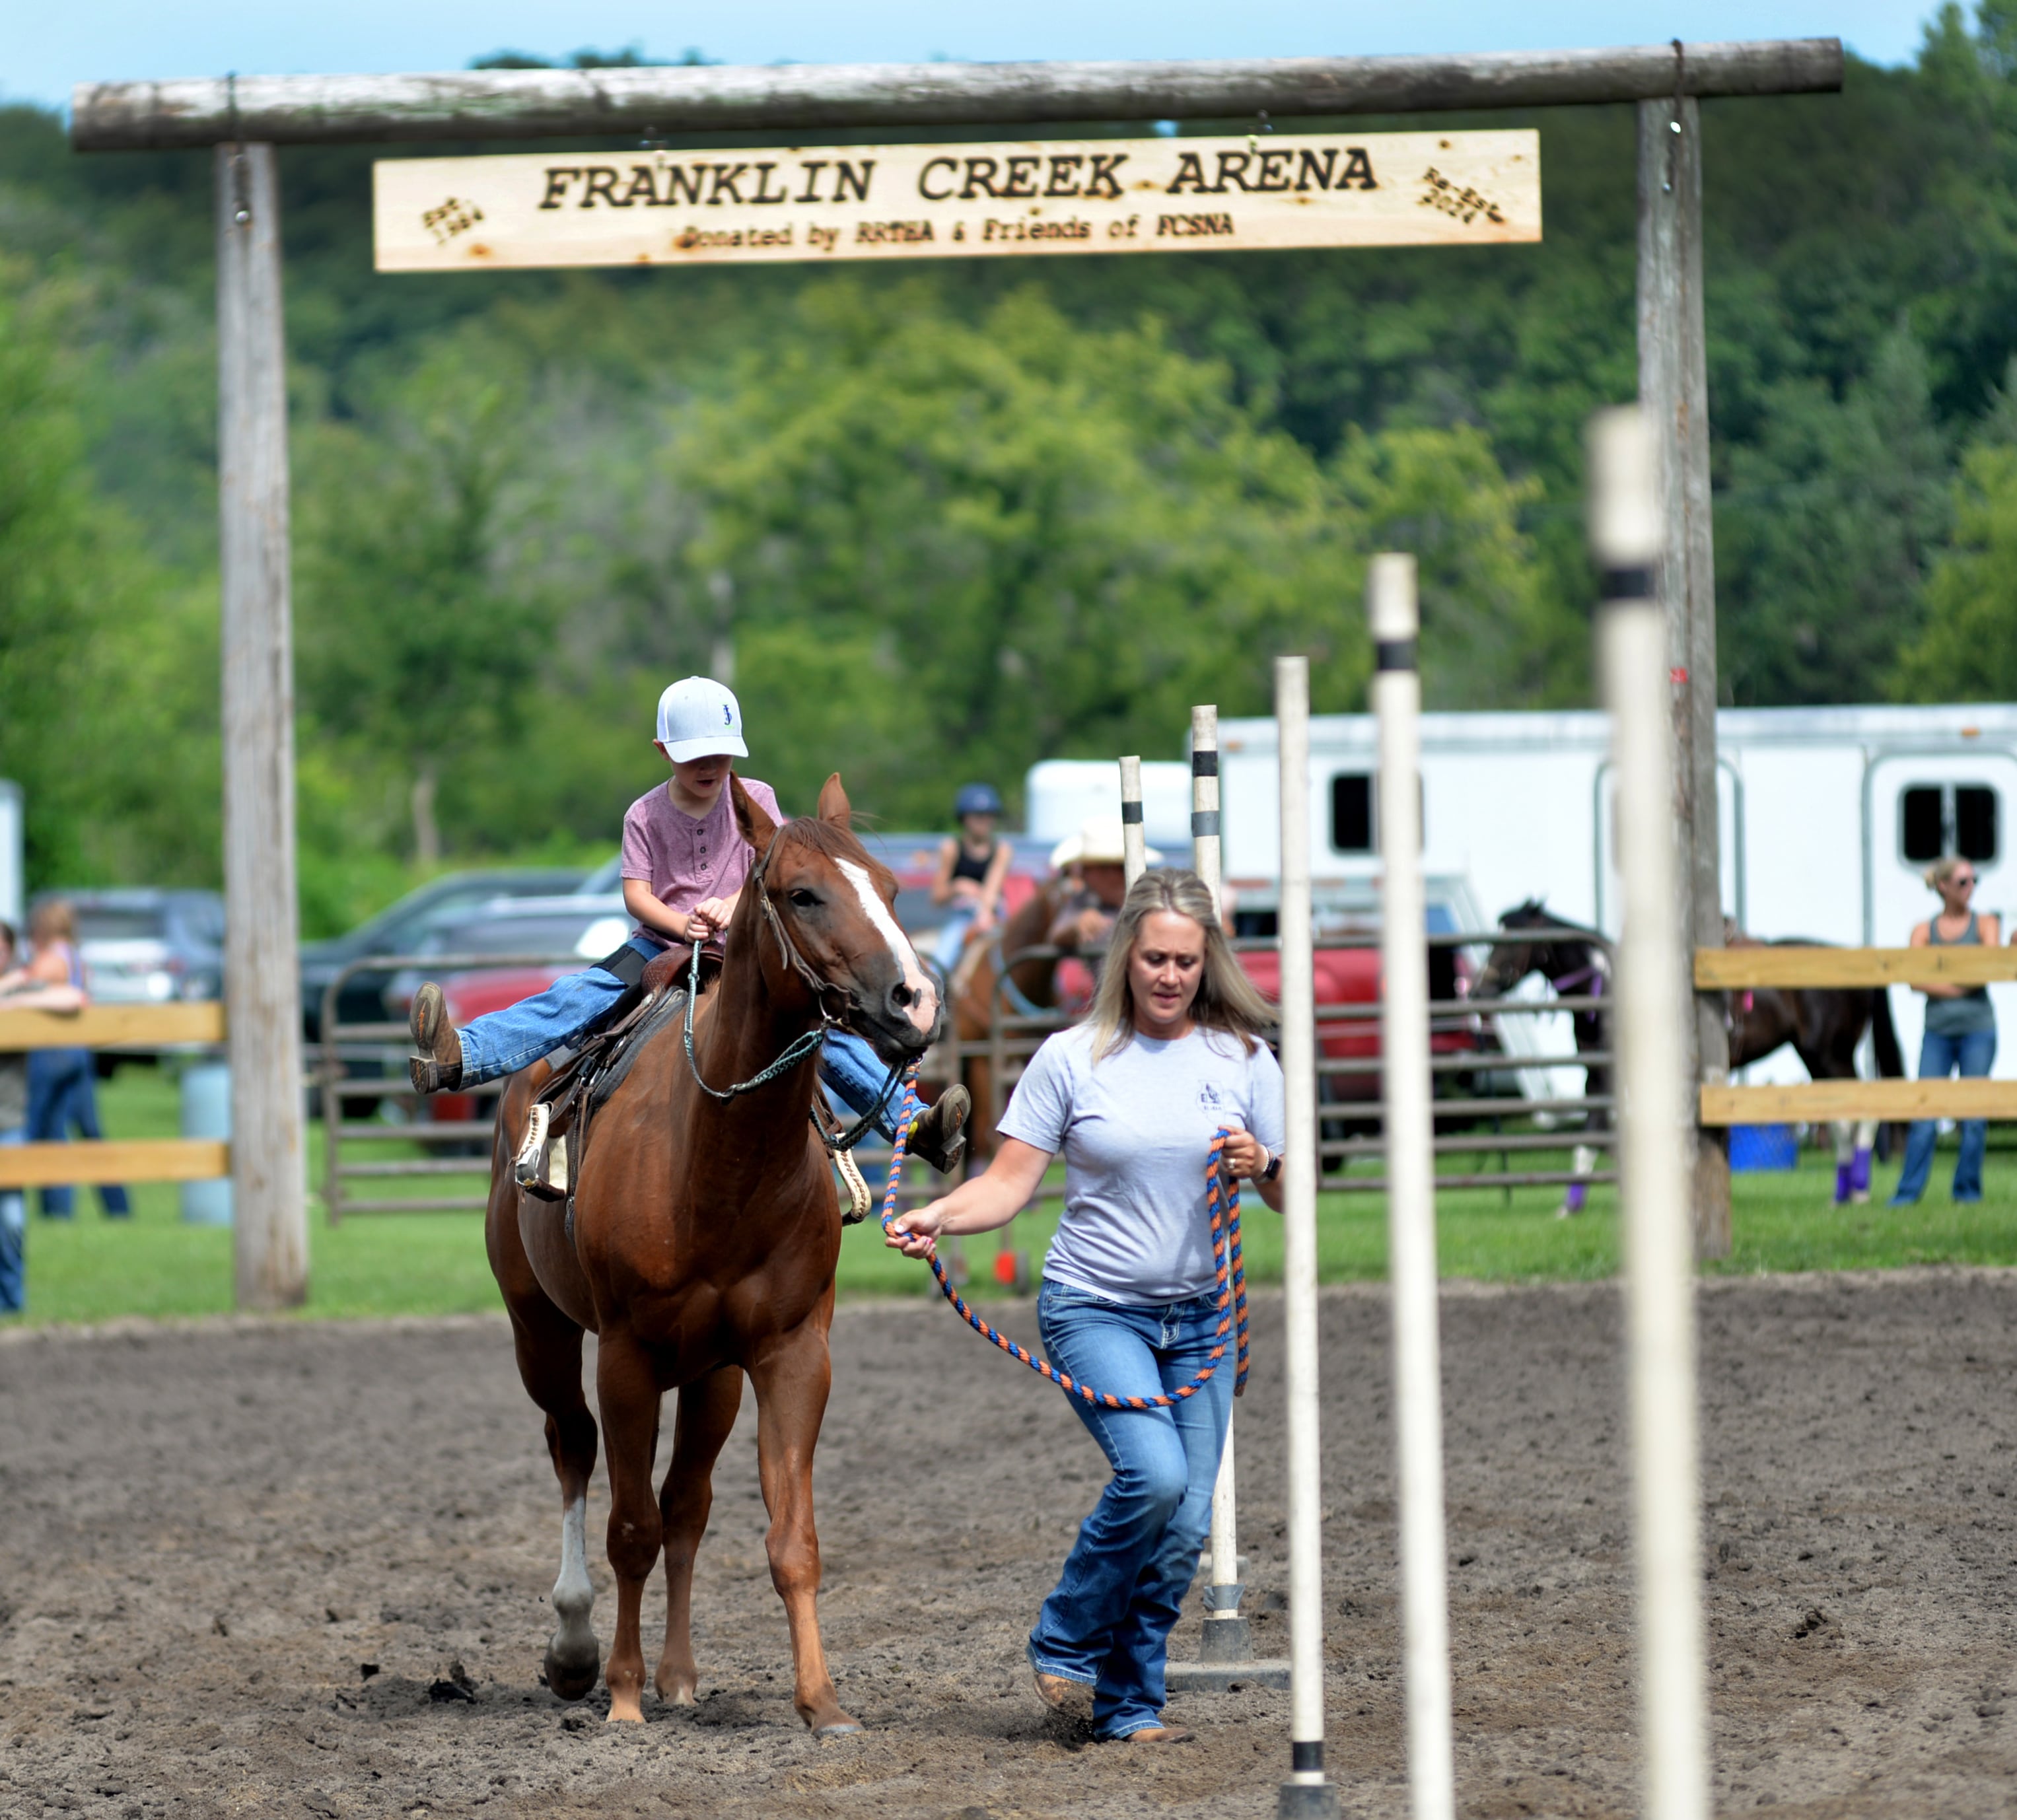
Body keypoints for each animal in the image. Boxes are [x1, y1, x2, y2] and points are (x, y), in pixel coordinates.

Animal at [483, 775, 940, 1735]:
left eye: (888, 885)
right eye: (803, 894)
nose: (913, 1000)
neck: (718, 1160)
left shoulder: (791, 1353)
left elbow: (787, 1538)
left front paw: (821, 1703)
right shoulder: (625, 1357)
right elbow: (629, 1528)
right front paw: (622, 1696)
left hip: (712, 1373)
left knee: (686, 1504)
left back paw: (681, 1674)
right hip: (540, 1329)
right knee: (573, 1447)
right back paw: (577, 1650)